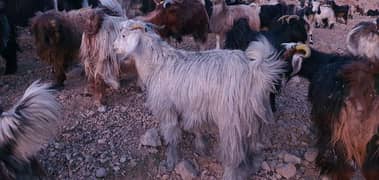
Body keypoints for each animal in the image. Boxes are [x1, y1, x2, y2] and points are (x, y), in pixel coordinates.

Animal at [114, 19, 286, 180]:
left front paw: (171, 160)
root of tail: (254, 72)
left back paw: (230, 173)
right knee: (255, 146)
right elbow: (195, 127)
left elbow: (171, 135)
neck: (157, 64)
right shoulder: (192, 106)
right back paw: (253, 166)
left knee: (234, 153)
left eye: (124, 35)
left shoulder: (167, 108)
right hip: (254, 118)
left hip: (232, 121)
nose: (114, 48)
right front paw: (201, 146)